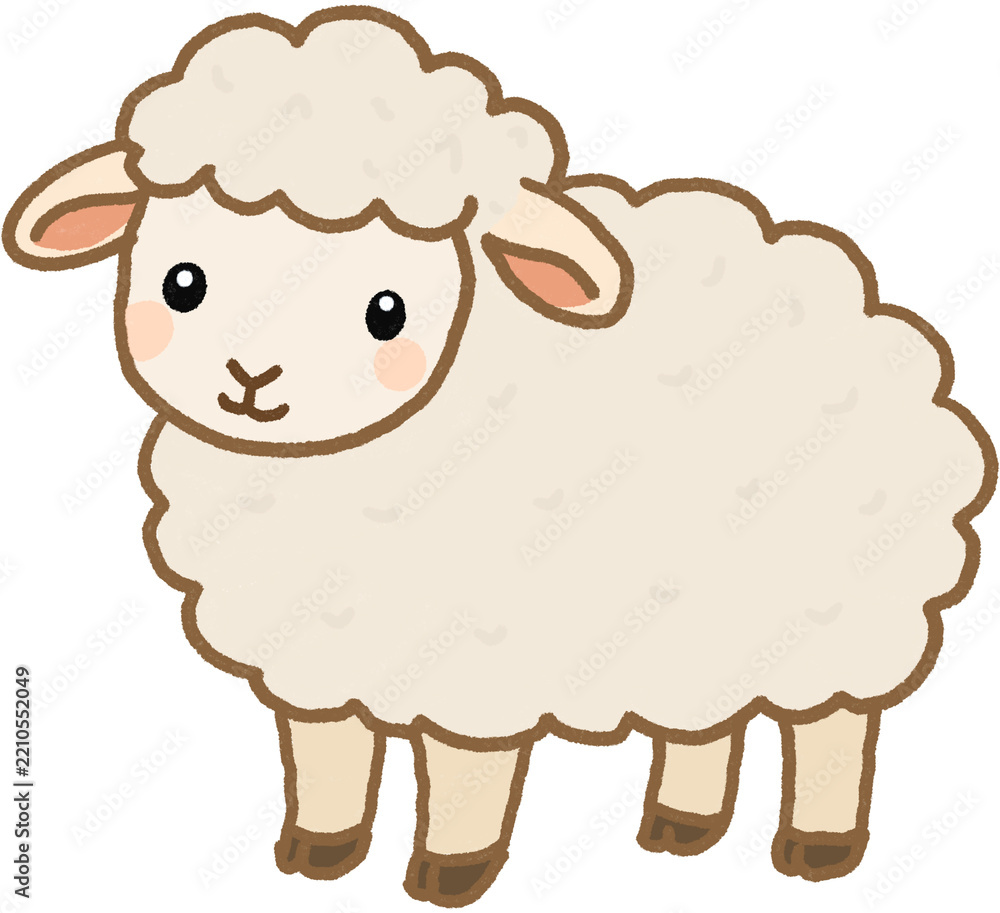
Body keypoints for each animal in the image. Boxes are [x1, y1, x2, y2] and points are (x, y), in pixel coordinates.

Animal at [3, 6, 995, 907]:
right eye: (184, 283)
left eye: (388, 312)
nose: (251, 377)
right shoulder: (321, 653)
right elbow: (329, 756)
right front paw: (320, 854)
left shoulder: (474, 659)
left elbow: (461, 777)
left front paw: (451, 873)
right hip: (705, 616)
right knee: (704, 721)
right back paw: (682, 826)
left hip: (847, 619)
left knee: (836, 731)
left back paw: (818, 848)